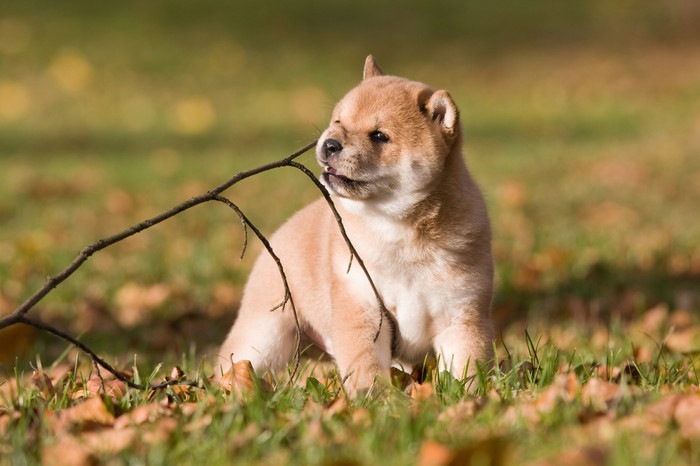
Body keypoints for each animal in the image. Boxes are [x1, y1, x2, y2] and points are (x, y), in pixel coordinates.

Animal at [216, 56, 494, 396]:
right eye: (338, 121)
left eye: (379, 136)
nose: (329, 143)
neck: (400, 231)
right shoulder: (362, 305)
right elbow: (366, 366)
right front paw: (374, 398)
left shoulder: (461, 314)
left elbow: (467, 365)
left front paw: (468, 397)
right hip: (265, 333)